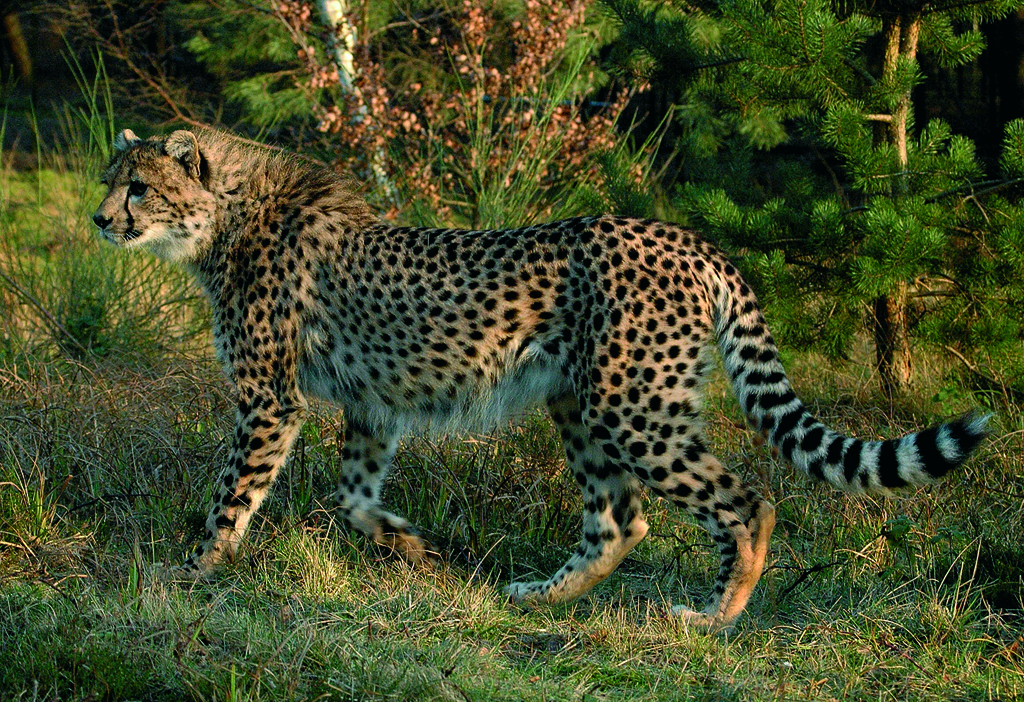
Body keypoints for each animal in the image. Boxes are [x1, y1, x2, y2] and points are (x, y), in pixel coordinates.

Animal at [92, 128, 990, 629]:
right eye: (109, 180)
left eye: (138, 185)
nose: (100, 219)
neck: (224, 214)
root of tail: (689, 237)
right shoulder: (373, 403)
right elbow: (353, 500)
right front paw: (414, 547)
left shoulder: (269, 400)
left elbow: (232, 497)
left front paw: (189, 574)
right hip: (579, 402)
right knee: (621, 520)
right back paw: (539, 598)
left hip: (635, 406)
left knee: (745, 499)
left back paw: (713, 616)